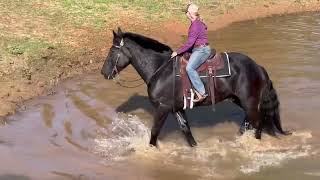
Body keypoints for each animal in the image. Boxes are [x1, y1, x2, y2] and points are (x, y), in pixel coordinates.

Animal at [100, 27, 290, 146]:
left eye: (112, 51)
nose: (103, 72)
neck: (160, 68)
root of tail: (258, 67)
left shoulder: (162, 108)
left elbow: (154, 132)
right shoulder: (176, 108)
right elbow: (187, 132)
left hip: (249, 101)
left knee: (258, 123)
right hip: (239, 100)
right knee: (249, 121)